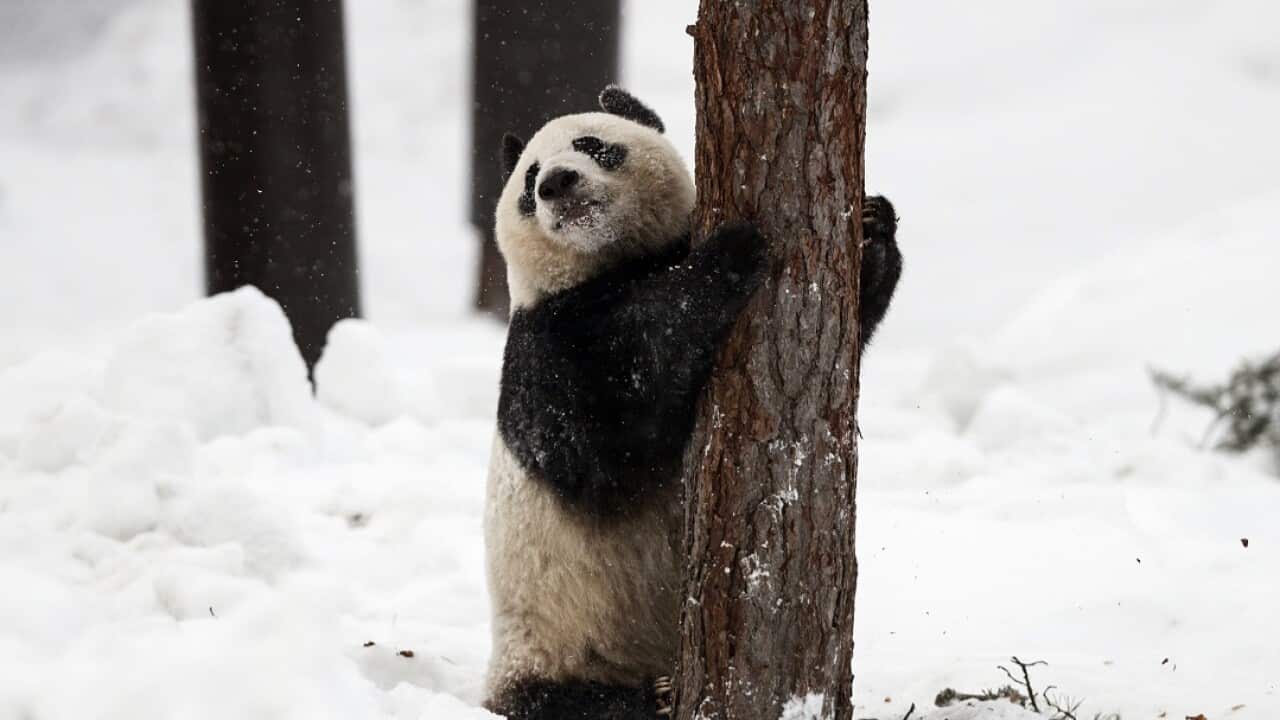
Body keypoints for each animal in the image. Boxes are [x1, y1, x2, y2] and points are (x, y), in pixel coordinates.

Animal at [483, 86, 901, 720]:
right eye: (529, 181)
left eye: (592, 144)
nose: (557, 182)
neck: (617, 264)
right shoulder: (547, 345)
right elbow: (603, 437)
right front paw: (731, 252)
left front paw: (874, 226)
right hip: (553, 645)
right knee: (578, 703)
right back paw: (655, 697)